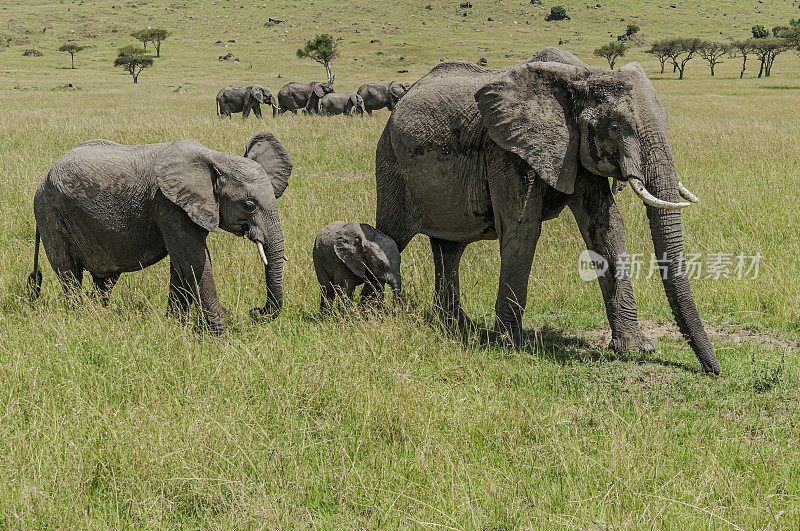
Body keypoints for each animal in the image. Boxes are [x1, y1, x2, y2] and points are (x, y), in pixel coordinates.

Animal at [27, 132, 294, 332]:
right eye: (249, 205)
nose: (255, 311)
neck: (217, 158)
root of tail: (44, 177)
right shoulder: (168, 204)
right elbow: (193, 261)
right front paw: (220, 338)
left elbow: (181, 266)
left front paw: (175, 326)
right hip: (50, 214)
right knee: (69, 274)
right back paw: (80, 318)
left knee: (105, 279)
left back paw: (100, 315)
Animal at [372, 47, 720, 376]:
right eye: (616, 127)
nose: (712, 370)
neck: (583, 75)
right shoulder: (507, 150)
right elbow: (522, 230)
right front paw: (511, 345)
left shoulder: (575, 148)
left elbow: (607, 227)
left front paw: (635, 348)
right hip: (390, 161)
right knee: (389, 239)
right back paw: (374, 315)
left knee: (449, 249)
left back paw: (457, 325)